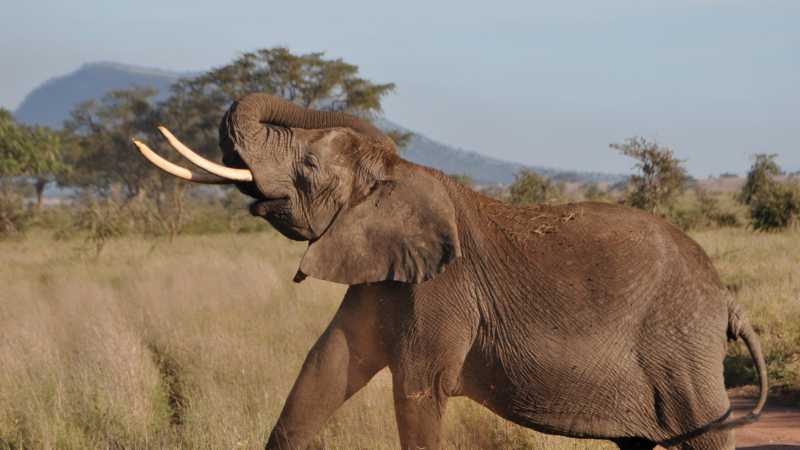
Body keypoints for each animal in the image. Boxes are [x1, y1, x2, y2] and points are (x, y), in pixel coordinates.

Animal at [132, 93, 767, 450]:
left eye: (308, 165)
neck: (397, 177)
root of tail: (728, 300)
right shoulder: (385, 273)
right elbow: (325, 366)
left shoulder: (442, 289)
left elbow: (417, 389)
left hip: (679, 345)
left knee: (707, 434)